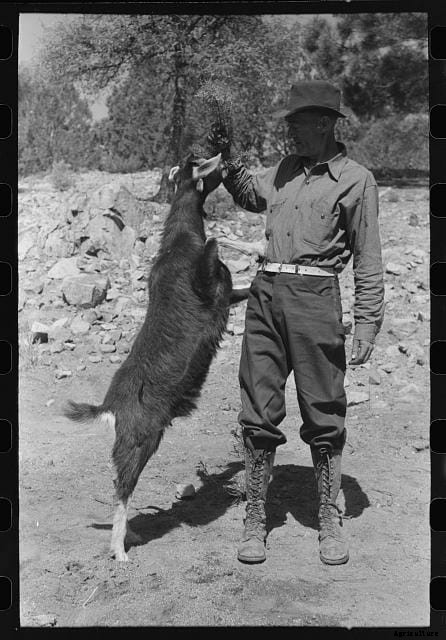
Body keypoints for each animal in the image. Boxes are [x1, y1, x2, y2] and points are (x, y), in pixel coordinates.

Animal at [64, 152, 249, 561]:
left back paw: (129, 536)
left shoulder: (226, 294)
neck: (181, 240)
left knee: (121, 487)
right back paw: (119, 550)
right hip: (139, 443)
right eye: (200, 163)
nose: (224, 158)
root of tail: (109, 407)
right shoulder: (205, 284)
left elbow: (244, 286)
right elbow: (214, 249)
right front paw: (228, 239)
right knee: (122, 488)